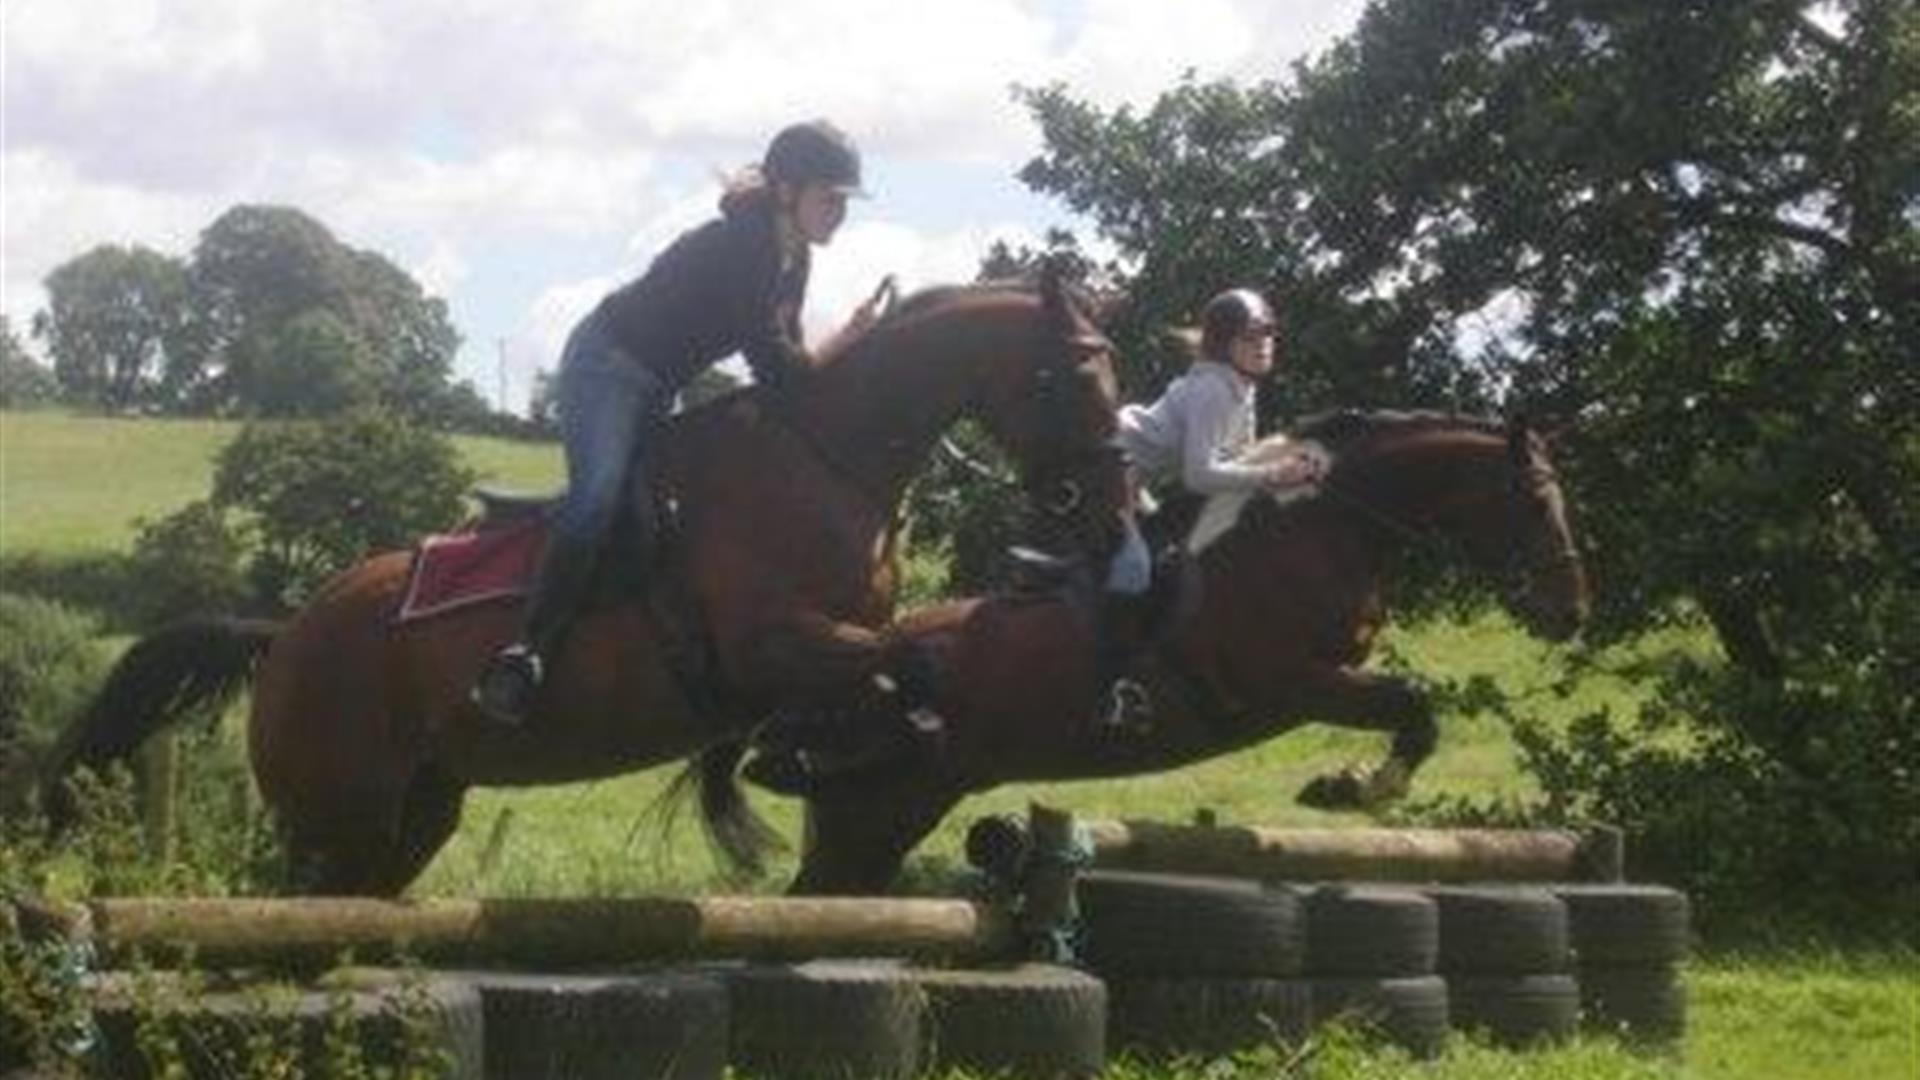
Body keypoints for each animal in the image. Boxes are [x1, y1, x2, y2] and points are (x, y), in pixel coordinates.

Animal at [45, 269, 1128, 891]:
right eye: (1078, 375)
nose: (1119, 513)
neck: (827, 458)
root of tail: (283, 637)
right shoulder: (774, 645)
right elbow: (908, 664)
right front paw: (793, 762)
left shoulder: (827, 647)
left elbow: (904, 669)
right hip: (330, 814)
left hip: (411, 813)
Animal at [691, 407, 1589, 887]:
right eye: (1535, 504)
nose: (1572, 609)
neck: (1321, 526)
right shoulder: (1293, 683)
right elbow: (1416, 708)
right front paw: (1351, 789)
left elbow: (1414, 709)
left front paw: (1351, 786)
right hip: (882, 797)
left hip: (885, 805)